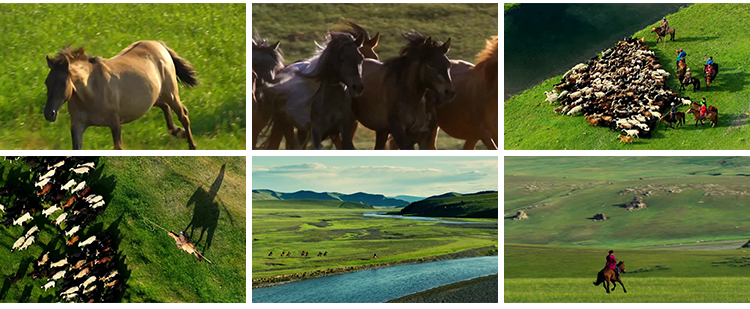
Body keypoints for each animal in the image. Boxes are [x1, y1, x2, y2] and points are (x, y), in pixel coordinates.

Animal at [44, 40, 200, 149]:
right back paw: (177, 131)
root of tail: (159, 45)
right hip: (154, 97)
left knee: (183, 114)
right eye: (47, 82)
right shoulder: (77, 126)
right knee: (166, 107)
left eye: (63, 83)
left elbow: (118, 148)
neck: (91, 93)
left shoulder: (115, 124)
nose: (49, 114)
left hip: (171, 93)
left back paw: (191, 145)